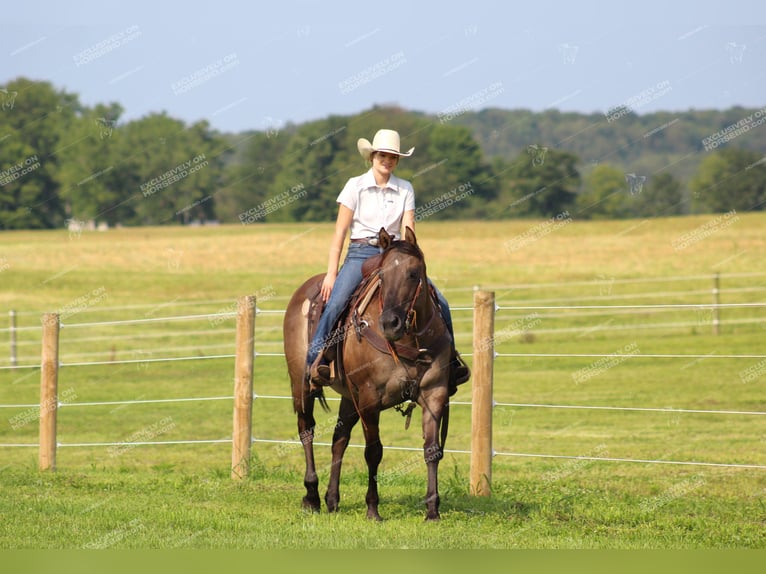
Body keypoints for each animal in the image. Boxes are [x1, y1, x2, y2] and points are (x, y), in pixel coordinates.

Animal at [284, 226, 452, 520]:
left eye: (414, 273)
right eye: (382, 276)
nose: (390, 323)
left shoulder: (435, 394)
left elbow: (432, 450)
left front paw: (432, 509)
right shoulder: (370, 399)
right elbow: (374, 452)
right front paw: (373, 508)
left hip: (349, 396)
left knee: (339, 438)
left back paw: (332, 499)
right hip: (302, 385)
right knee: (307, 430)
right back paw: (312, 496)